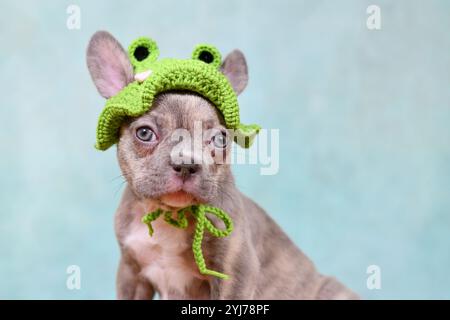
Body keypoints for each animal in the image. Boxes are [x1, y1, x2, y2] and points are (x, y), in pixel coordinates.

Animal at [85, 31, 358, 298]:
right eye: (144, 133)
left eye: (219, 139)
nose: (186, 163)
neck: (171, 215)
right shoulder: (131, 273)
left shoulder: (235, 272)